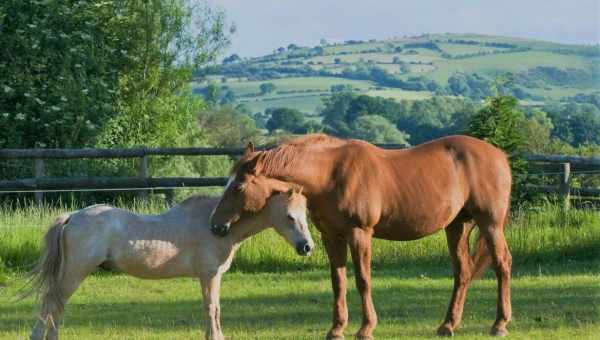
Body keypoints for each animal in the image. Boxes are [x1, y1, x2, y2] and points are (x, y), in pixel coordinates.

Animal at [210, 134, 510, 338]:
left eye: (238, 187)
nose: (215, 226)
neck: (330, 174)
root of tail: (500, 155)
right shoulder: (332, 237)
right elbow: (338, 282)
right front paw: (336, 329)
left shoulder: (359, 234)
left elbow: (363, 280)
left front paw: (366, 328)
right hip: (457, 226)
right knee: (463, 272)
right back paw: (448, 325)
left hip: (490, 224)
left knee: (502, 264)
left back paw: (499, 324)